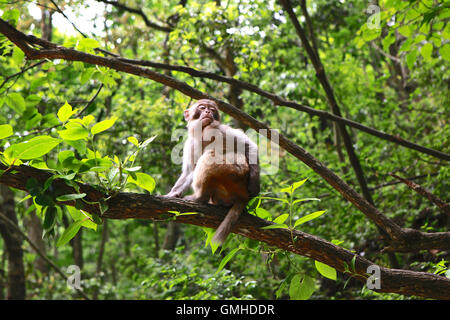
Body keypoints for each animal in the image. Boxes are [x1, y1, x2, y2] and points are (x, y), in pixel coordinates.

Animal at [167, 99, 260, 244]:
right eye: (202, 108)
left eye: (212, 109)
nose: (207, 112)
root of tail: (243, 196)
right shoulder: (190, 143)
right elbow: (189, 171)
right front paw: (172, 194)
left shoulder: (220, 129)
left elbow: (248, 144)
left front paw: (255, 184)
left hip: (234, 175)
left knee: (210, 156)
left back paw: (200, 197)